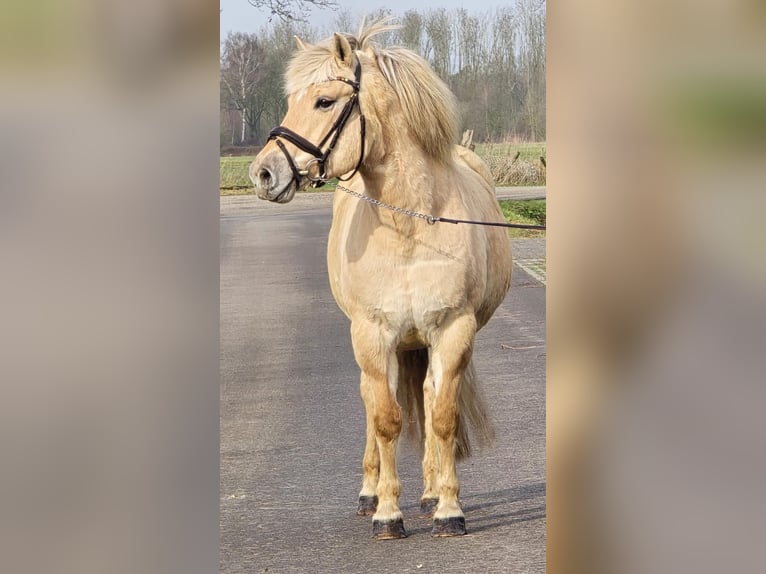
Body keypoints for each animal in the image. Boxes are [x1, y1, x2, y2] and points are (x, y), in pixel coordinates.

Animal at [249, 19, 513, 539]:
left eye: (324, 101)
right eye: (291, 99)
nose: (263, 173)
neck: (409, 225)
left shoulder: (452, 331)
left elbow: (442, 417)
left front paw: (449, 509)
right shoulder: (373, 334)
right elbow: (387, 419)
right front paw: (387, 514)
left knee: (427, 400)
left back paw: (429, 492)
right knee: (373, 402)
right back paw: (370, 492)